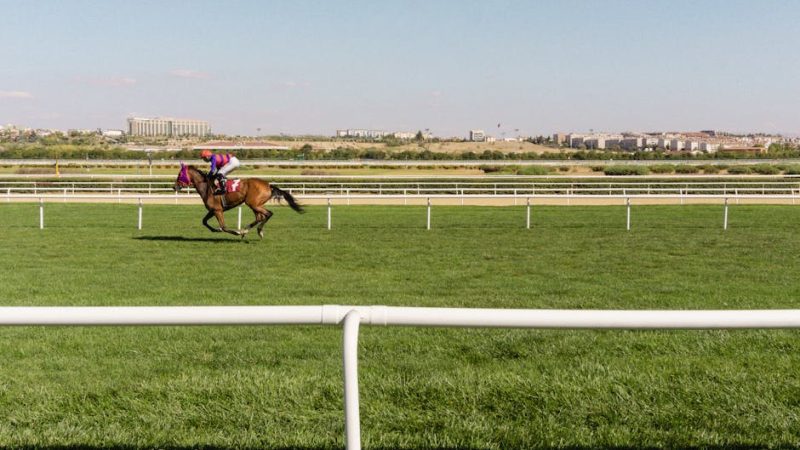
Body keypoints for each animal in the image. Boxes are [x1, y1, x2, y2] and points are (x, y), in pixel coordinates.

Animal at [173, 163, 304, 239]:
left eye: (180, 175)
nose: (174, 187)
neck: (207, 186)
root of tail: (268, 186)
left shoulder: (218, 210)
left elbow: (223, 226)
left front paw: (236, 232)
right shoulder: (213, 210)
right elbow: (204, 221)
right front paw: (215, 230)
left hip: (253, 203)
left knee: (268, 214)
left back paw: (255, 231)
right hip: (255, 204)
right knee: (260, 217)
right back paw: (247, 231)